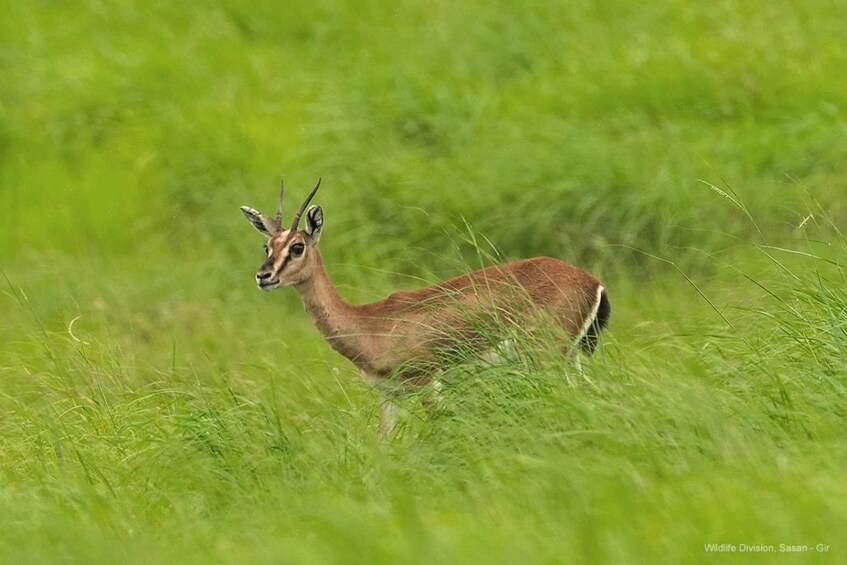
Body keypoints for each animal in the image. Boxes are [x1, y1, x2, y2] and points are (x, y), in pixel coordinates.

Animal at [240, 179, 610, 436]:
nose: (263, 276)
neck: (369, 324)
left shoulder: (427, 383)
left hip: (550, 358)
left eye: (297, 246)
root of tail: (592, 282)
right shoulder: (388, 396)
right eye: (267, 246)